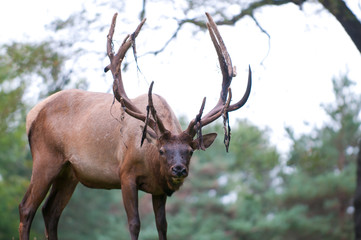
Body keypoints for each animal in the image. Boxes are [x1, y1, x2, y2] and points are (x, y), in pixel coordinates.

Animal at [19, 12, 250, 240]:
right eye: (162, 150)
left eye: (190, 151)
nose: (179, 169)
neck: (150, 160)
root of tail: (32, 114)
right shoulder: (126, 174)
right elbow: (134, 224)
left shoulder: (158, 190)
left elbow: (162, 226)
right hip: (46, 157)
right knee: (27, 207)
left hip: (69, 171)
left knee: (50, 211)